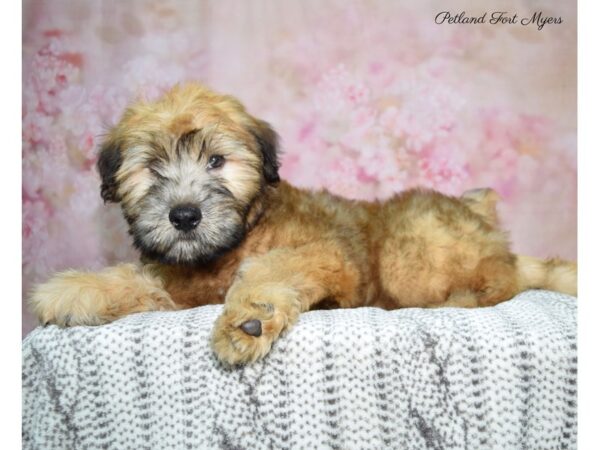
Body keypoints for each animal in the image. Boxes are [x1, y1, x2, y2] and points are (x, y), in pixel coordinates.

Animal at [29, 82, 576, 366]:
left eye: (216, 162)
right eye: (151, 167)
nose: (184, 216)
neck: (236, 239)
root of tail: (484, 219)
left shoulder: (322, 253)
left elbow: (271, 270)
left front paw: (248, 320)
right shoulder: (180, 285)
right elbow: (137, 279)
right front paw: (74, 291)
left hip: (411, 249)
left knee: (497, 282)